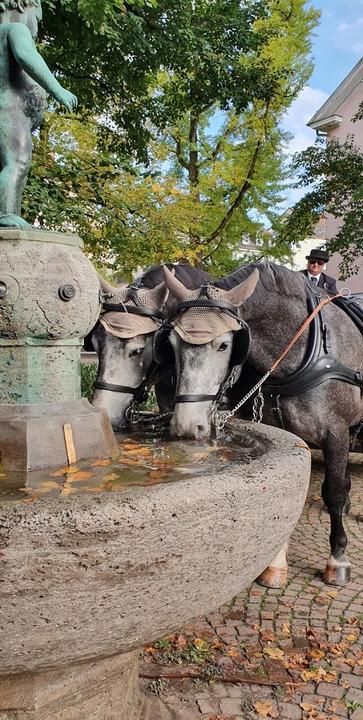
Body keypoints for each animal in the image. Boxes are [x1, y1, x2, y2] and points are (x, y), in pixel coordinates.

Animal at [159, 262, 363, 588]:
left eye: (224, 345)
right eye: (172, 344)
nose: (187, 427)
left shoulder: (336, 433)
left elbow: (333, 491)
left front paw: (338, 558)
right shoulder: (290, 436)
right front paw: (275, 564)